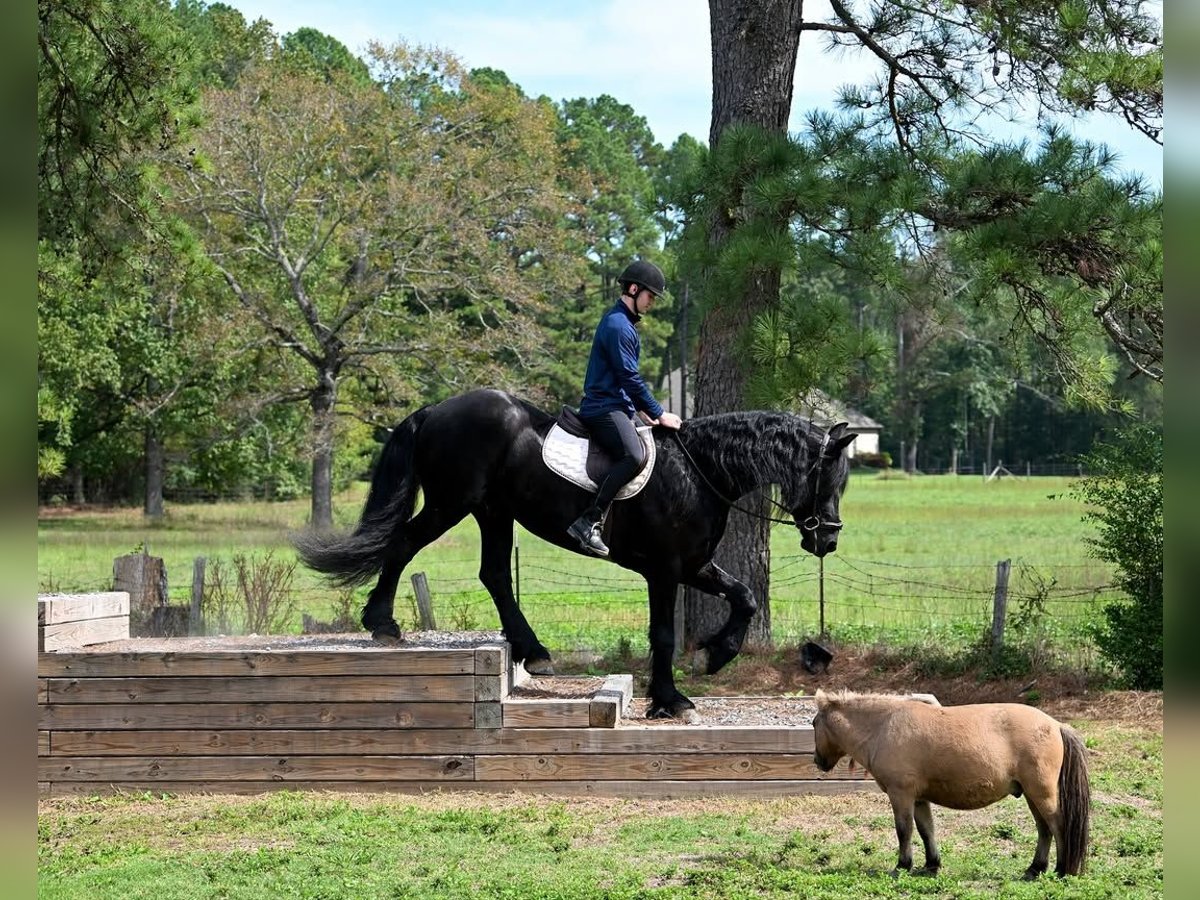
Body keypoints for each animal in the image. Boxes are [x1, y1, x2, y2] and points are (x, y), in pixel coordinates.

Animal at [293, 388, 856, 719]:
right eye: (830, 479)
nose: (827, 540)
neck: (700, 472)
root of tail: (438, 409)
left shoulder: (693, 565)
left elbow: (744, 598)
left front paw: (715, 655)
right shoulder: (664, 570)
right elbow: (664, 634)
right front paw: (671, 700)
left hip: (493, 512)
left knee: (494, 573)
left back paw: (533, 651)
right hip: (452, 504)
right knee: (405, 544)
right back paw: (383, 623)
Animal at [811, 689, 1091, 879]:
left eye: (814, 723)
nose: (817, 761)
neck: (885, 726)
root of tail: (1056, 725)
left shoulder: (901, 794)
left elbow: (904, 830)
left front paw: (902, 865)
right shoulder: (919, 798)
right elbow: (926, 830)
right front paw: (931, 865)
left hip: (1042, 794)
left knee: (1058, 826)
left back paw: (1061, 870)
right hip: (1033, 796)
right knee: (1044, 830)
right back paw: (1035, 868)